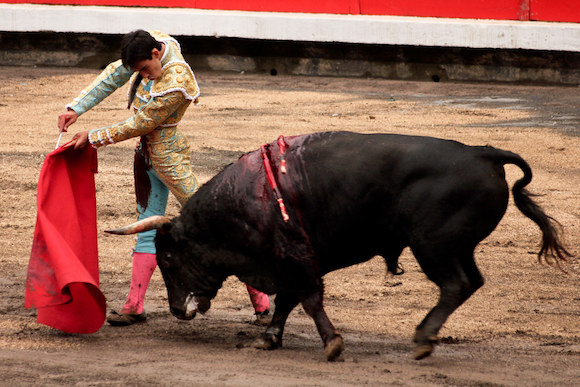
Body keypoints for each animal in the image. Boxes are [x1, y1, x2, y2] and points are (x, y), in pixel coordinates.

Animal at [106, 132, 568, 362]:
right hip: (455, 247)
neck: (244, 201)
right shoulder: (287, 262)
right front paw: (269, 338)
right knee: (469, 282)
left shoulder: (295, 258)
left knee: (455, 285)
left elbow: (309, 300)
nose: (175, 310)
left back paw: (423, 338)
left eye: (167, 258)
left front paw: (332, 344)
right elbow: (288, 301)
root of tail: (482, 153)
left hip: (433, 245)